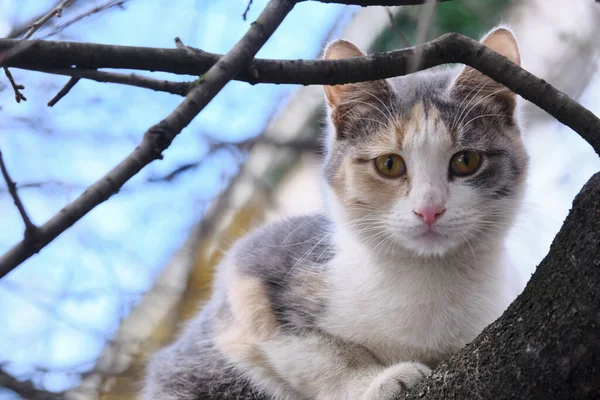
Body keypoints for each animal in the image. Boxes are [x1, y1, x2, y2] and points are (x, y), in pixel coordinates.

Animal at [143, 27, 528, 400]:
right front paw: (378, 381)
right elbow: (321, 355)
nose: (429, 209)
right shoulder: (251, 271)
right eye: (389, 164)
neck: (429, 276)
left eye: (466, 161)